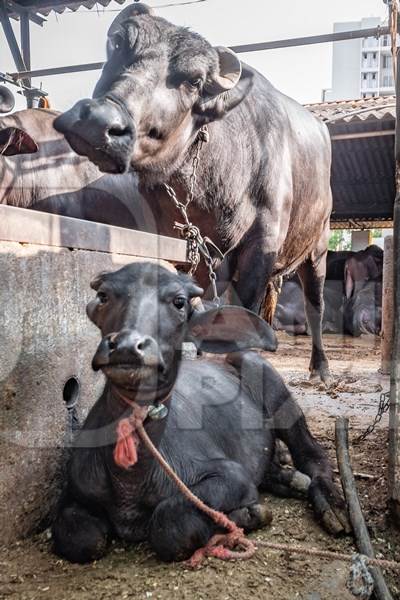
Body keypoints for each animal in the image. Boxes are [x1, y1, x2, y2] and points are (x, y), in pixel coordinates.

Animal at [52, 262, 346, 564]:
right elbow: (82, 539)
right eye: (103, 296)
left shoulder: (232, 476)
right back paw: (290, 480)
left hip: (269, 382)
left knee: (312, 454)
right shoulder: (74, 493)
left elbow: (171, 525)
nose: (126, 347)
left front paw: (249, 514)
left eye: (178, 302)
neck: (131, 479)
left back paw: (330, 504)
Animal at [54, 4, 334, 382]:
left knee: (314, 305)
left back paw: (320, 367)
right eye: (119, 43)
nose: (98, 122)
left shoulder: (260, 248)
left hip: (317, 248)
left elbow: (243, 316)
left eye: (194, 81)